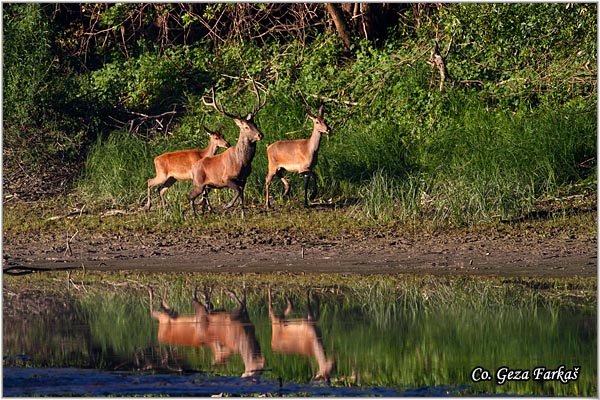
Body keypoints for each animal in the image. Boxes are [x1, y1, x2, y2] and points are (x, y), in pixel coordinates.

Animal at [191, 82, 266, 217]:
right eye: (246, 127)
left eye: (255, 124)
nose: (260, 135)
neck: (243, 161)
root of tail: (193, 168)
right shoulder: (226, 178)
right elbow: (238, 192)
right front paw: (228, 205)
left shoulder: (244, 179)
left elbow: (241, 195)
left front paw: (243, 215)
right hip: (198, 183)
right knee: (191, 196)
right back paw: (194, 214)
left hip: (207, 185)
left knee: (203, 196)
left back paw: (203, 212)